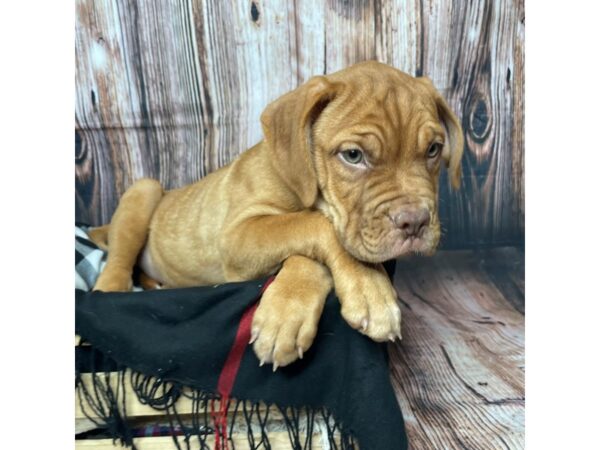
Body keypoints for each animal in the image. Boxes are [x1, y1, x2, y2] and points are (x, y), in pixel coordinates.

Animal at [90, 59, 464, 370]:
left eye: (433, 150)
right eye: (353, 155)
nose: (415, 221)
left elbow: (306, 246)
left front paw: (286, 311)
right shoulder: (238, 237)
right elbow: (317, 225)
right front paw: (370, 287)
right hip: (145, 189)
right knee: (116, 265)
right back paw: (110, 292)